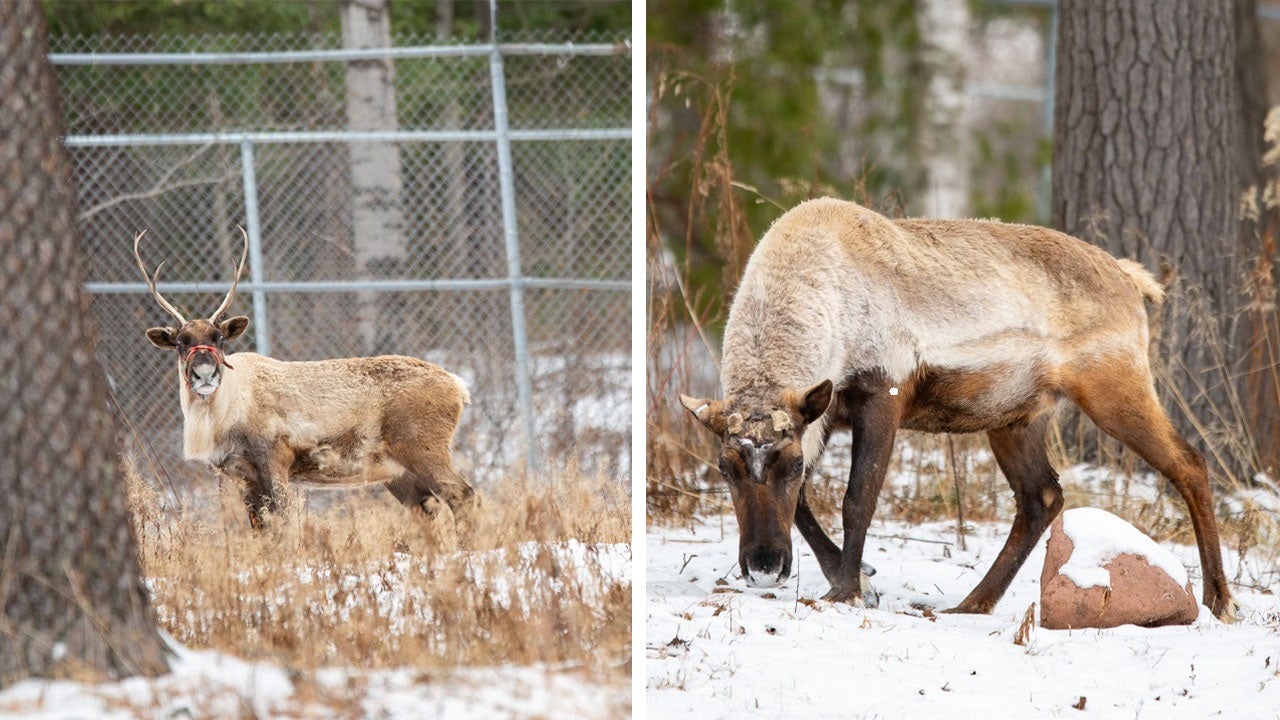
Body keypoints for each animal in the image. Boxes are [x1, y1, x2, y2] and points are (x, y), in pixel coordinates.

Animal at [133, 229, 478, 533]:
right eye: (181, 342)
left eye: (218, 338)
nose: (204, 372)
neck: (225, 418)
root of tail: (458, 387)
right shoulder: (242, 476)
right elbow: (262, 531)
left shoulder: (275, 460)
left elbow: (285, 527)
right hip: (398, 473)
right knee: (430, 509)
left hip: (423, 446)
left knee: (462, 494)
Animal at [680, 197, 1238, 623]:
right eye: (725, 468)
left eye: (790, 464)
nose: (764, 565)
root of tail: (1130, 279)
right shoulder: (821, 415)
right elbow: (802, 505)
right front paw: (862, 579)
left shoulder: (881, 394)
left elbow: (857, 500)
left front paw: (846, 590)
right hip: (1016, 419)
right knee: (1042, 497)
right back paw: (972, 604)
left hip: (1115, 388)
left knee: (1189, 463)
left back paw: (1220, 600)